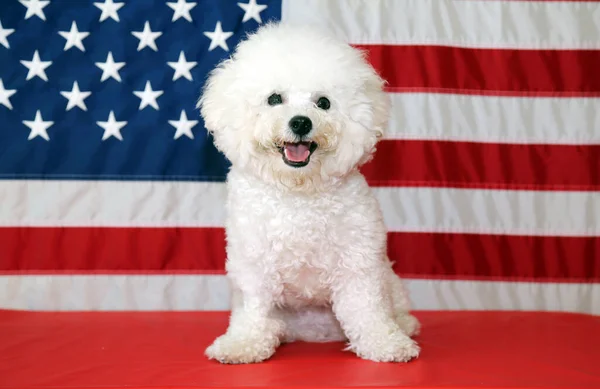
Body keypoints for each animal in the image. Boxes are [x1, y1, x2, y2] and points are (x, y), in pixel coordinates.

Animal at [199, 22, 420, 364]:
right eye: (274, 98)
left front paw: (384, 343)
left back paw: (403, 324)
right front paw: (243, 344)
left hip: (390, 279)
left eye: (323, 103)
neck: (298, 193)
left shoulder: (359, 261)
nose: (301, 122)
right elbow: (254, 311)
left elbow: (367, 308)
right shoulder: (254, 265)